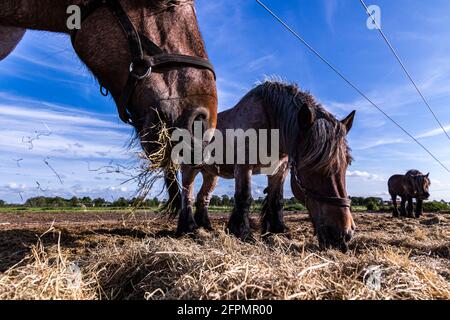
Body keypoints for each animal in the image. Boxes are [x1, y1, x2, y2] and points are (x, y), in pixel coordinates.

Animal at [178, 80, 356, 252]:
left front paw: (278, 232)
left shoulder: (279, 171)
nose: (344, 234)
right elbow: (244, 197)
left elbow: (276, 200)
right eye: (312, 163)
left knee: (203, 198)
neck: (270, 122)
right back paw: (189, 228)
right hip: (189, 170)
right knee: (187, 195)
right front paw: (242, 233)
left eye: (347, 164)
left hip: (211, 174)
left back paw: (206, 227)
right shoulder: (243, 167)